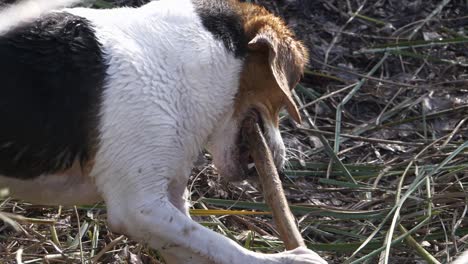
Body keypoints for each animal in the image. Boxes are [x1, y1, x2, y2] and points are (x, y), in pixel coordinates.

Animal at [0, 1, 328, 262]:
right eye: (294, 83)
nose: (281, 162)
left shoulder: (170, 199)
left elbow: (201, 246)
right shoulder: (139, 207)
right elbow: (226, 246)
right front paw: (292, 259)